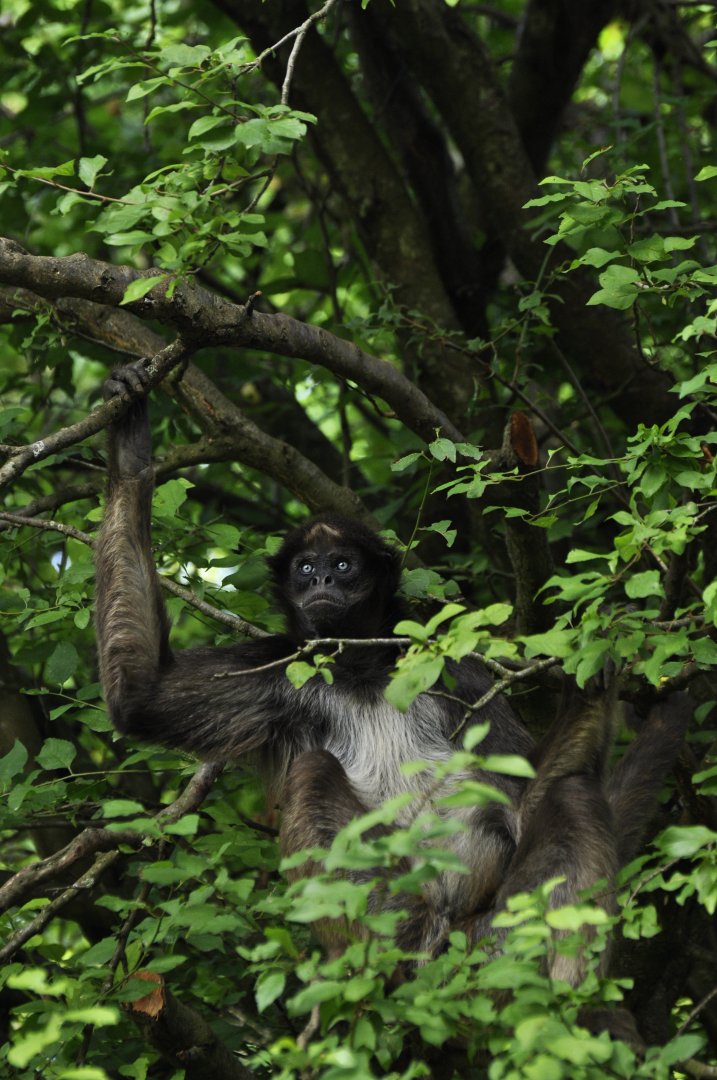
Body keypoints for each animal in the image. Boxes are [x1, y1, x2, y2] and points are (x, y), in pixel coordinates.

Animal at [95, 360, 689, 983]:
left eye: (342, 565)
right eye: (304, 568)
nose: (320, 581)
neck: (362, 671)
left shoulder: (457, 668)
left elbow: (525, 801)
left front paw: (595, 674)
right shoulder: (278, 673)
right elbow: (140, 696)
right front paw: (130, 441)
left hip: (494, 937)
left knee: (569, 797)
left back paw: (566, 1000)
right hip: (392, 910)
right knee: (313, 772)